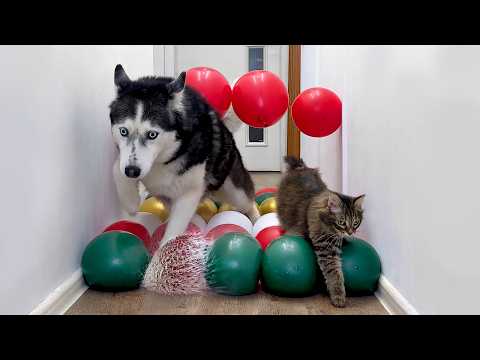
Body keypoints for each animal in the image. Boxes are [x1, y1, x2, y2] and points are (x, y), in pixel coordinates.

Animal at [109, 64, 258, 249]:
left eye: (152, 134)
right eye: (123, 131)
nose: (132, 172)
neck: (163, 159)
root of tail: (225, 128)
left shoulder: (190, 193)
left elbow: (173, 232)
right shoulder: (128, 162)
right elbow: (116, 168)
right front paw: (130, 201)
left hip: (233, 190)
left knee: (248, 201)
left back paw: (256, 220)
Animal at [278, 156, 364, 308]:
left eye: (355, 222)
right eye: (342, 222)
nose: (350, 232)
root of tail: (300, 167)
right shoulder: (326, 250)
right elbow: (335, 274)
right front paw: (338, 296)